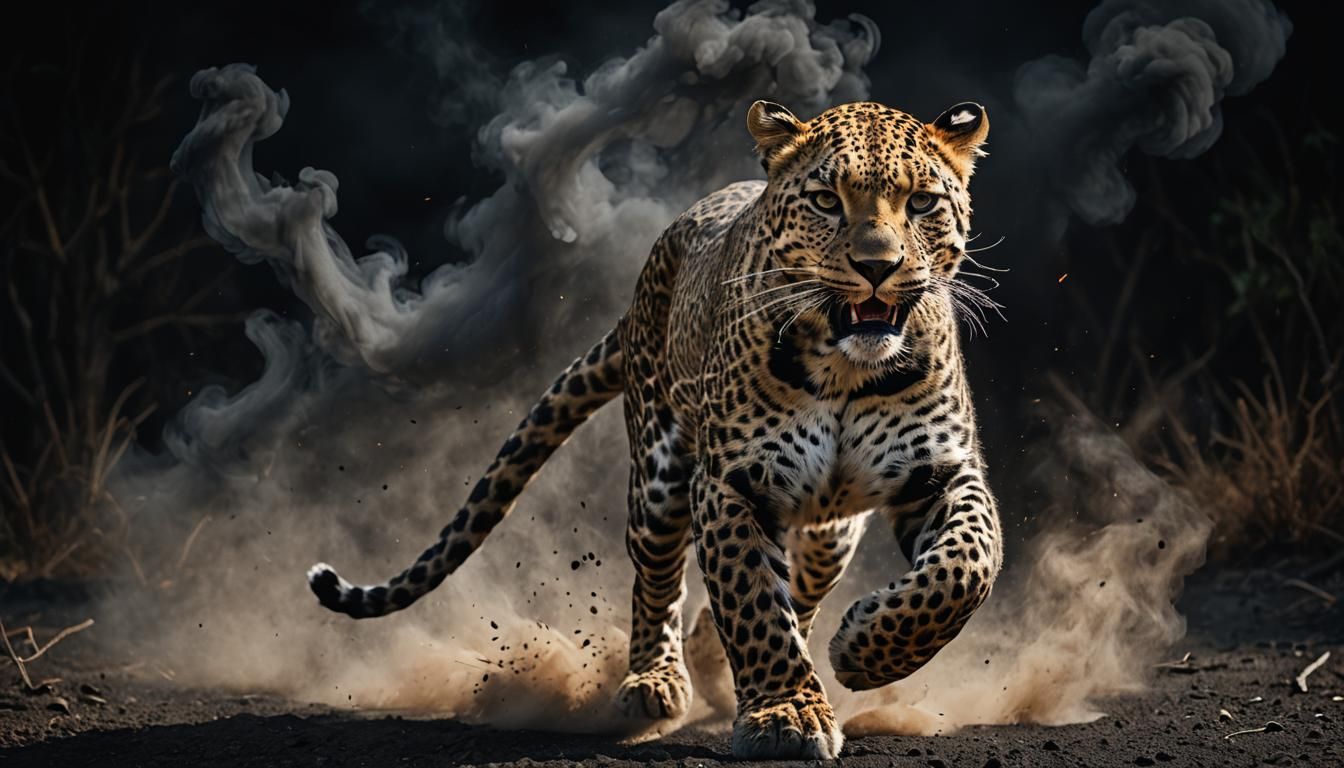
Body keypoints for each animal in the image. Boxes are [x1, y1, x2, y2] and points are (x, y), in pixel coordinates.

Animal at [308, 98, 1004, 759]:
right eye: (827, 201)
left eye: (921, 202)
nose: (877, 266)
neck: (846, 372)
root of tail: (642, 288)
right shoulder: (731, 484)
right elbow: (753, 603)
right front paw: (786, 714)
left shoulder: (943, 473)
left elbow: (966, 568)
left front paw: (862, 651)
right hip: (660, 481)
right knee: (658, 579)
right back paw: (656, 680)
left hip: (829, 531)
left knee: (801, 585)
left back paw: (718, 660)